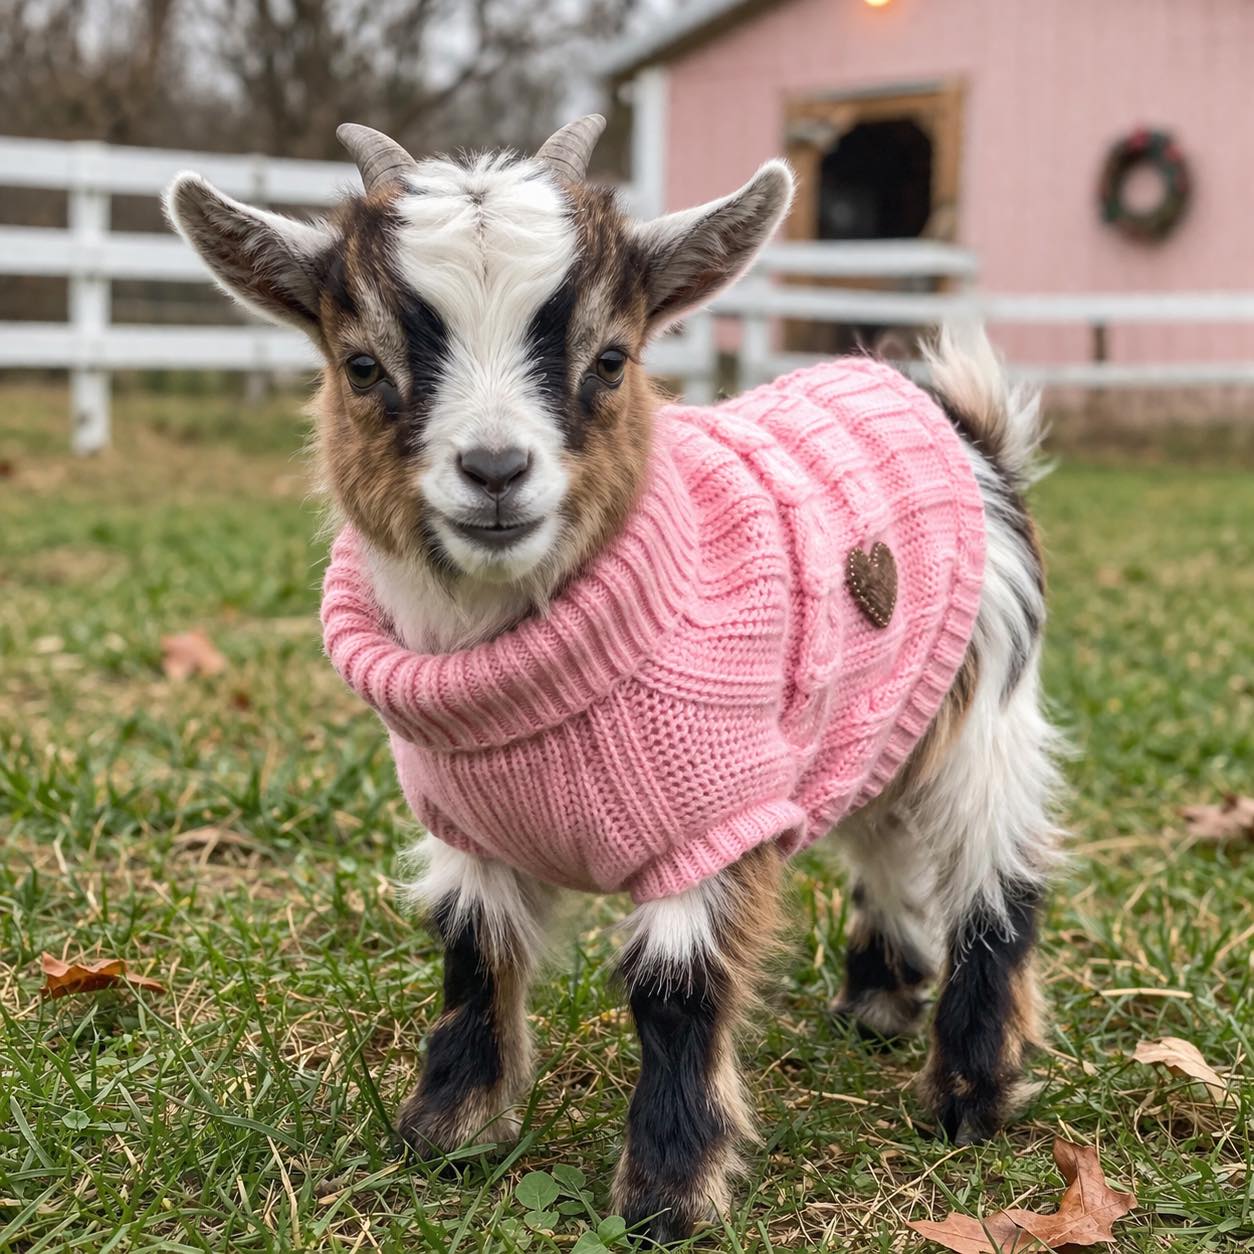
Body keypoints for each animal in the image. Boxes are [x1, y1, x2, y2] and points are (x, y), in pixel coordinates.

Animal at [166, 116, 1062, 1245]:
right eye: (363, 364)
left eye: (611, 358)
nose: (495, 472)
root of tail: (955, 416)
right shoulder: (470, 828)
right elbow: (473, 951)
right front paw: (447, 1131)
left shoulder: (712, 818)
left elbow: (675, 990)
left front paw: (670, 1196)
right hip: (872, 720)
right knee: (886, 838)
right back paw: (877, 1003)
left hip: (990, 709)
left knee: (996, 877)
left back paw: (967, 1096)